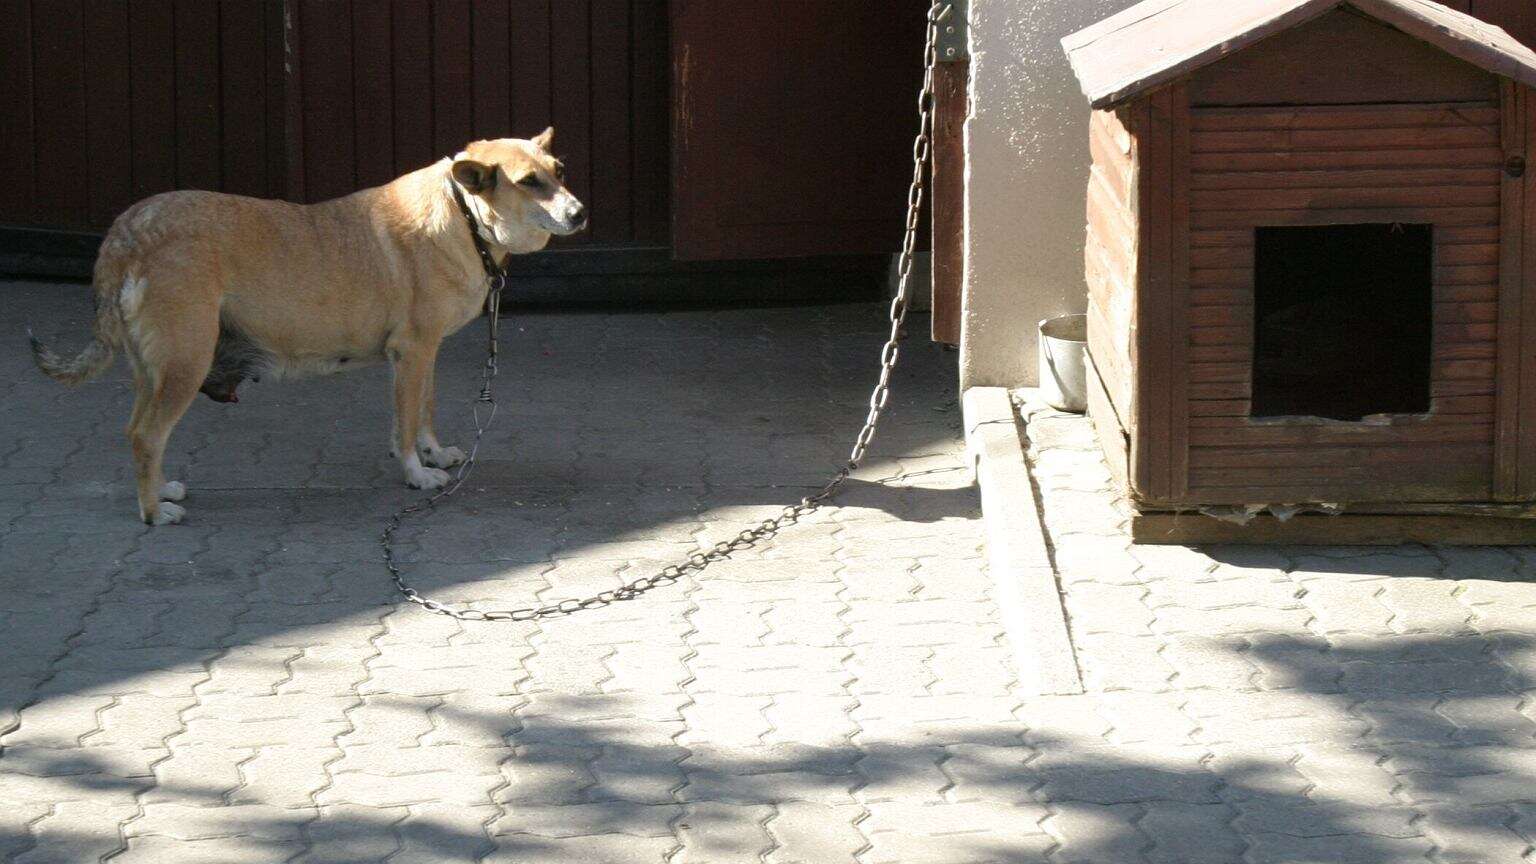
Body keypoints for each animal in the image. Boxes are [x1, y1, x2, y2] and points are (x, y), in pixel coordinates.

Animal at [31, 124, 580, 522]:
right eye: (529, 183)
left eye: (558, 170)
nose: (579, 213)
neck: (463, 216)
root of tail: (125, 233)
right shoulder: (413, 351)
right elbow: (404, 425)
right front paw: (416, 474)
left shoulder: (424, 356)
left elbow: (423, 411)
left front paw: (433, 453)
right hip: (186, 362)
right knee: (148, 435)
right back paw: (152, 512)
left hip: (155, 369)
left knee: (135, 432)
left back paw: (160, 487)